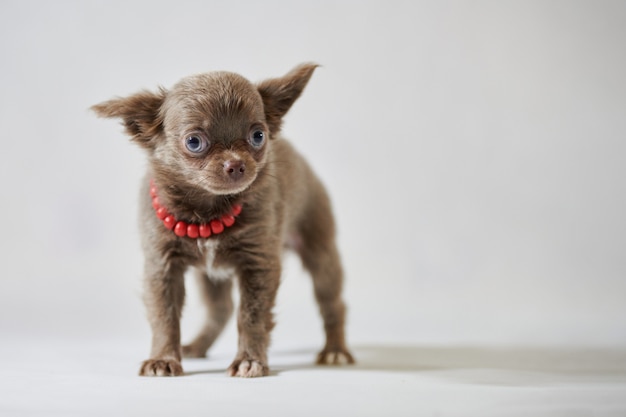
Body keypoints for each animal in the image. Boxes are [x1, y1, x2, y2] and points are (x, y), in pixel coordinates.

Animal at [91, 62, 354, 376]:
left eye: (258, 136)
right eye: (194, 142)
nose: (236, 164)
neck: (208, 210)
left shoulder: (258, 264)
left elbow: (252, 316)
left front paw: (250, 360)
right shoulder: (162, 266)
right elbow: (164, 316)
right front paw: (164, 358)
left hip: (320, 253)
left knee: (332, 302)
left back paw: (335, 350)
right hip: (209, 275)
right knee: (222, 308)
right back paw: (197, 346)